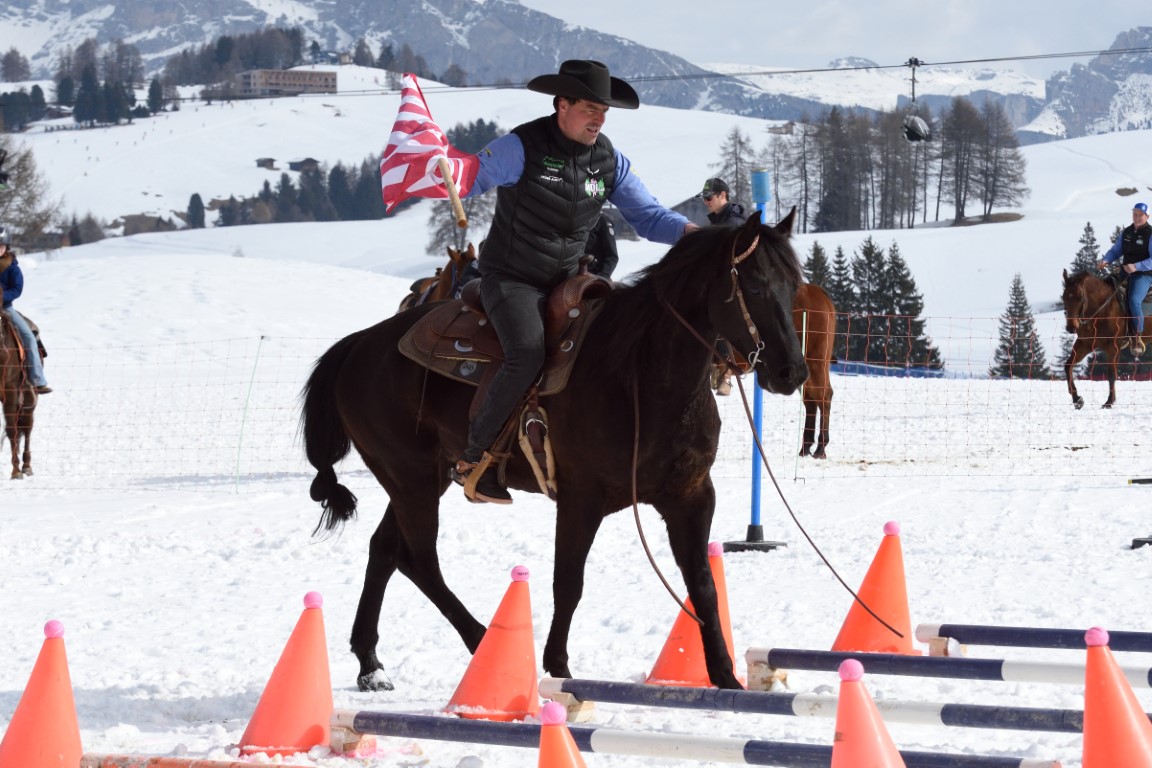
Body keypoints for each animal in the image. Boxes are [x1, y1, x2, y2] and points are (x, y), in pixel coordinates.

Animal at [301, 211, 809, 692]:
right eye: (756, 285)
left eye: (794, 286)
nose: (792, 372)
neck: (639, 374)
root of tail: (358, 344)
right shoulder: (581, 498)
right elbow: (569, 581)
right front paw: (558, 668)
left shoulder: (691, 495)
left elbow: (703, 584)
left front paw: (724, 675)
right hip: (413, 480)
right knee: (419, 559)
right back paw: (482, 639)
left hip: (419, 479)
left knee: (386, 550)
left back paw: (370, 665)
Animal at [1061, 268, 1149, 409]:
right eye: (1064, 297)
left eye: (1080, 297)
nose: (1071, 327)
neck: (1103, 309)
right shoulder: (1084, 344)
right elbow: (1068, 365)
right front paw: (1077, 399)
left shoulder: (1113, 347)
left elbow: (1111, 374)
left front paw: (1109, 402)